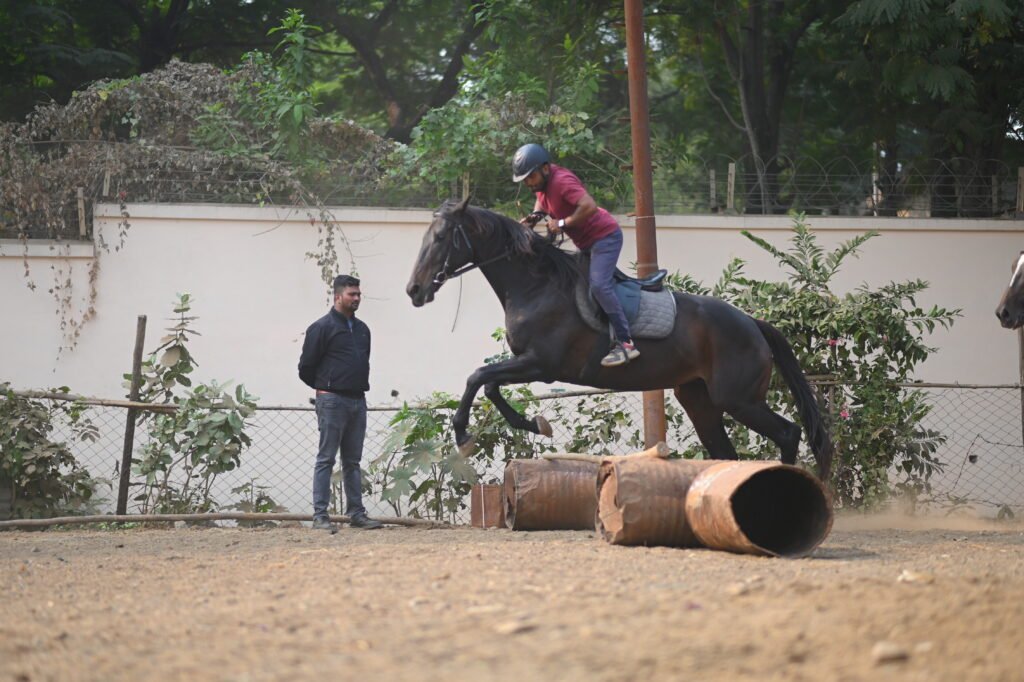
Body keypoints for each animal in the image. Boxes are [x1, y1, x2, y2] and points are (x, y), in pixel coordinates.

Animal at [405, 199, 831, 481]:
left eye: (441, 237)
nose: (414, 290)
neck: (536, 285)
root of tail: (753, 323)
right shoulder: (528, 364)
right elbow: (490, 385)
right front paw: (534, 423)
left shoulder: (540, 364)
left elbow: (477, 377)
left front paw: (463, 434)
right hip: (701, 400)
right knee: (726, 452)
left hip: (739, 400)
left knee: (789, 433)